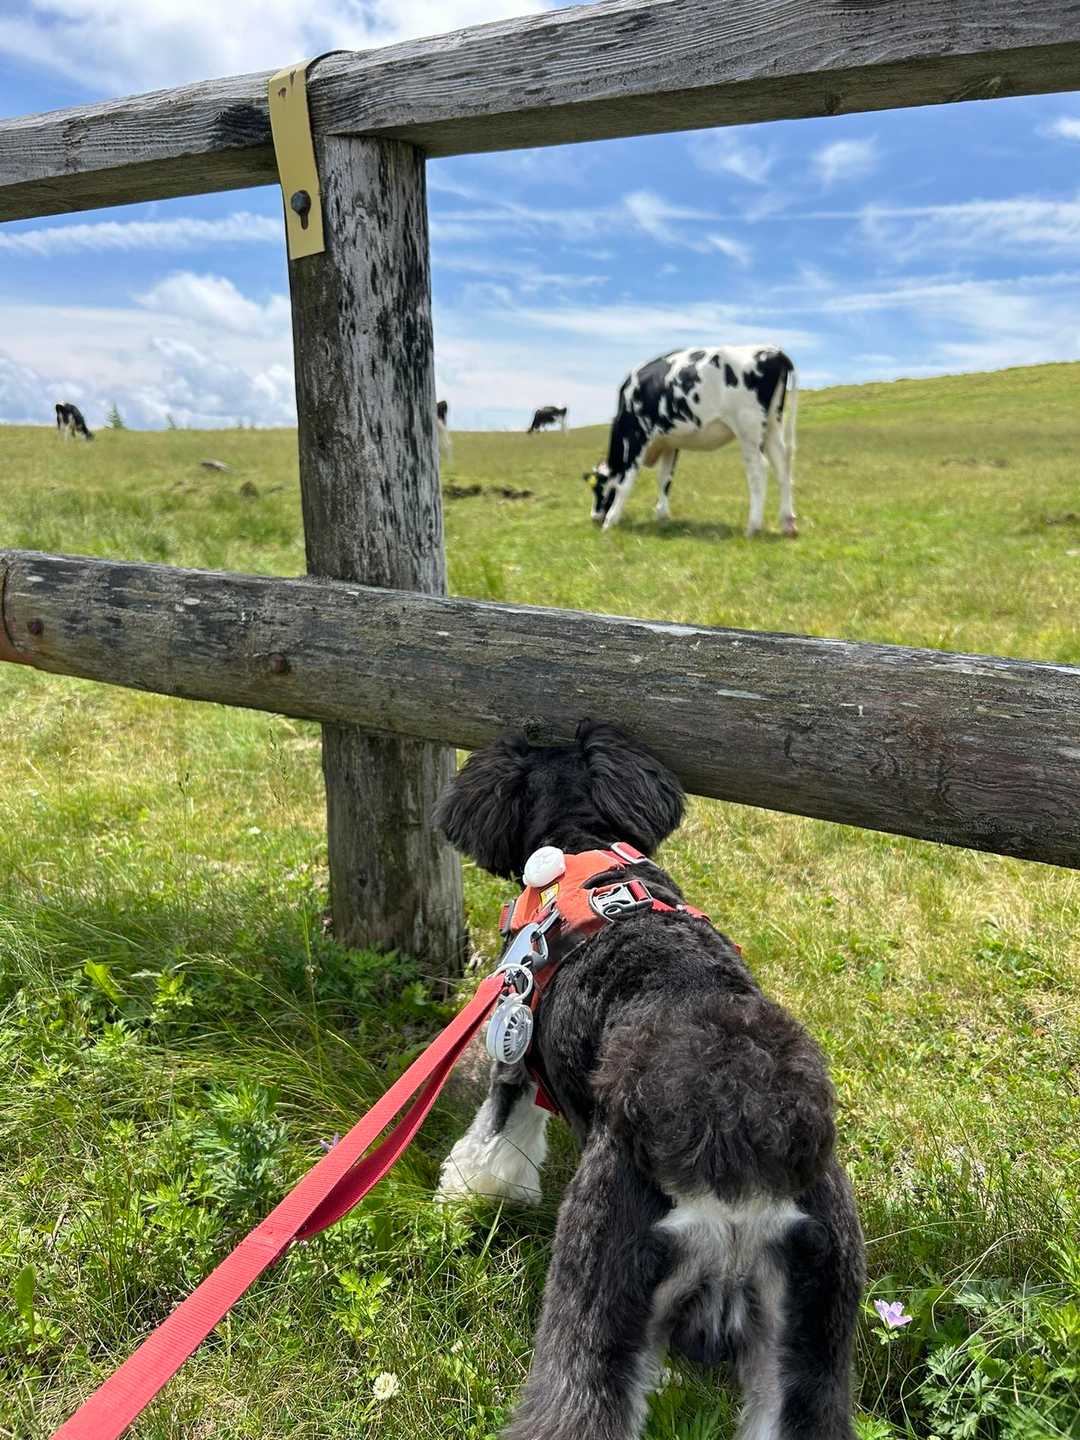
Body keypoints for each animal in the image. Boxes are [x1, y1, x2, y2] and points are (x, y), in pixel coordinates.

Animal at [435, 721, 864, 1440]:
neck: (579, 848)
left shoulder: (514, 1045)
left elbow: (493, 1143)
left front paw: (464, 1201)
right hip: (813, 1332)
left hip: (600, 1278)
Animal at [585, 346, 797, 535]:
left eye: (598, 488)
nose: (594, 517)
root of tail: (773, 351)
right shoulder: (670, 443)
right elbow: (665, 479)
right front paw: (662, 516)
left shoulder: (636, 435)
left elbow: (624, 481)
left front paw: (610, 522)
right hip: (772, 424)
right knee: (782, 466)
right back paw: (788, 523)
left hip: (748, 429)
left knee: (759, 470)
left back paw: (753, 527)